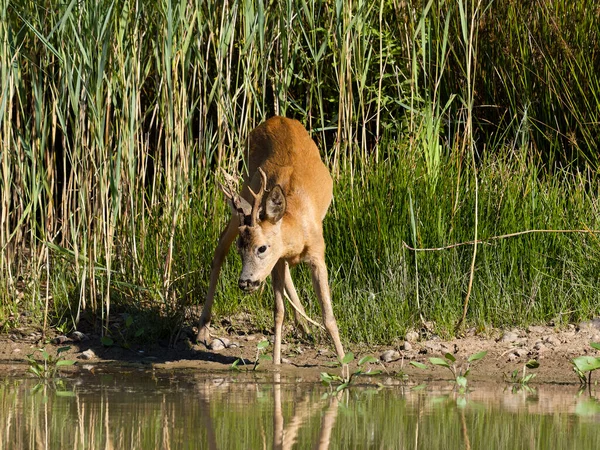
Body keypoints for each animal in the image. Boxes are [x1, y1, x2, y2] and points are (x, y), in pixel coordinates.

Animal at [197, 115, 344, 366]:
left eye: (262, 248)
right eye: (240, 249)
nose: (245, 282)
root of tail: (277, 118)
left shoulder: (316, 252)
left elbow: (328, 315)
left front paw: (344, 362)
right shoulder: (278, 260)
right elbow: (278, 312)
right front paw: (275, 365)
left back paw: (304, 326)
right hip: (244, 198)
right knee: (220, 248)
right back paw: (202, 330)